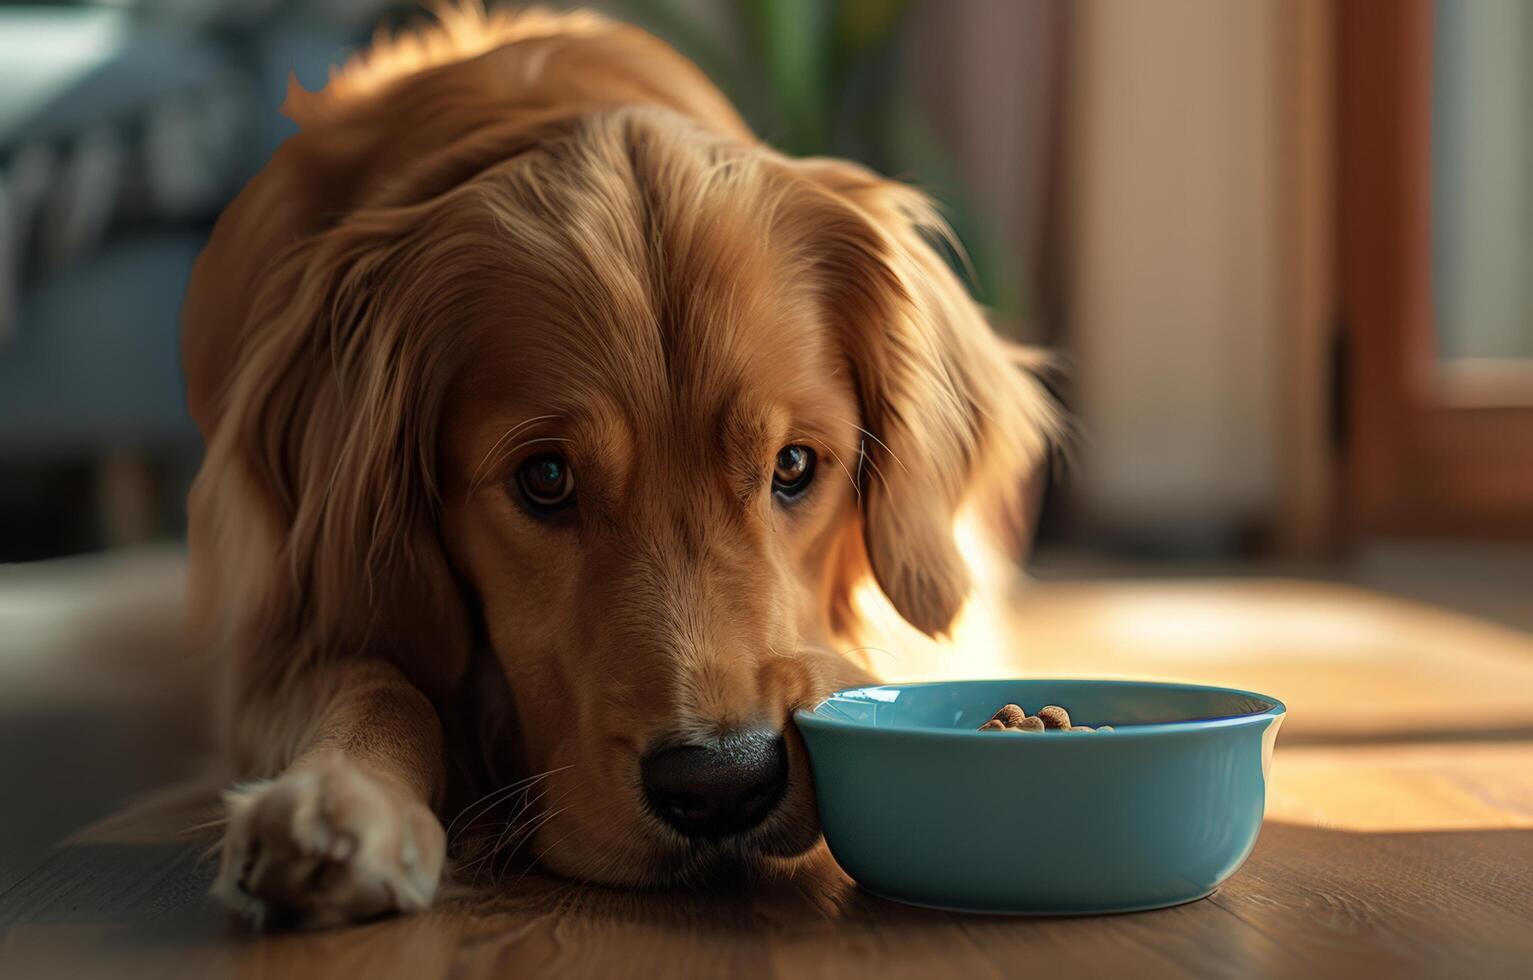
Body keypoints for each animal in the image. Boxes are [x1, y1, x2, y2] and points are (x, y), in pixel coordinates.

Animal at [182, 5, 1054, 926]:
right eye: (545, 479)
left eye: (792, 464)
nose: (722, 786)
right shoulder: (279, 622)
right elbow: (376, 679)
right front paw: (340, 794)